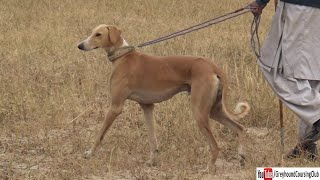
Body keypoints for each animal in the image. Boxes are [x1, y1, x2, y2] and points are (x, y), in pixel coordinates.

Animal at [77, 24, 250, 170]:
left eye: (98, 34)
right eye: (92, 32)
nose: (80, 46)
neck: (123, 56)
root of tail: (212, 66)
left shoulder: (115, 107)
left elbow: (100, 134)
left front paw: (90, 153)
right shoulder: (147, 107)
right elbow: (152, 139)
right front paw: (152, 160)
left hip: (199, 112)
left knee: (215, 145)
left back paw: (208, 168)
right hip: (214, 110)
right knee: (240, 128)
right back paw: (241, 156)